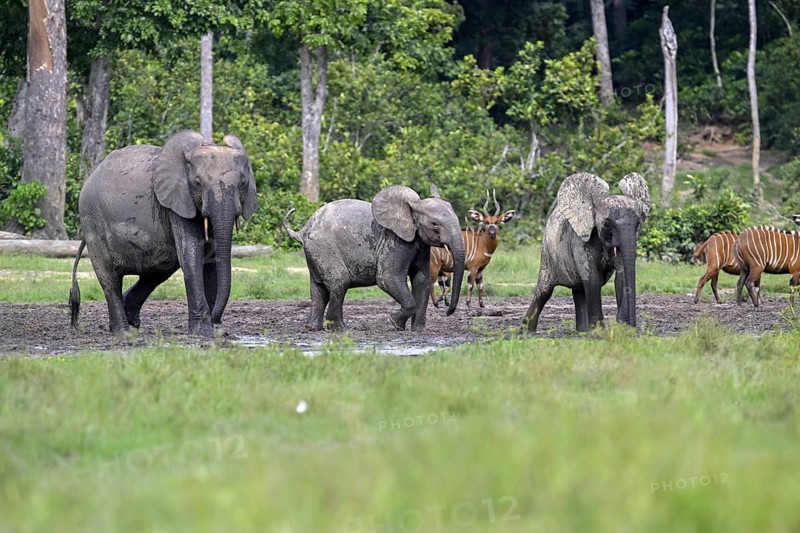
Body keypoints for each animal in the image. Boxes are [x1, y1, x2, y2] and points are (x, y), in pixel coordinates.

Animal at [68, 130, 257, 336]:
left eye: (242, 183)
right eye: (198, 183)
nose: (218, 319)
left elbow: (210, 259)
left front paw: (210, 332)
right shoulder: (177, 201)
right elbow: (191, 256)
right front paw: (202, 333)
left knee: (161, 268)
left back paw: (130, 321)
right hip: (92, 219)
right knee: (110, 278)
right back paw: (123, 331)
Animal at [283, 184, 466, 332]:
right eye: (435, 224)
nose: (447, 311)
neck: (412, 208)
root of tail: (303, 231)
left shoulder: (421, 244)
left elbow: (422, 280)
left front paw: (418, 331)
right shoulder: (395, 241)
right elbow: (388, 278)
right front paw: (394, 324)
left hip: (315, 251)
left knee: (319, 290)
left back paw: (313, 328)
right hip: (324, 248)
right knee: (339, 283)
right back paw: (341, 330)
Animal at [523, 172, 651, 333]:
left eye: (638, 224)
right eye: (607, 224)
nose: (633, 328)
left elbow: (621, 278)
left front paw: (621, 328)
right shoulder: (580, 240)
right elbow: (592, 278)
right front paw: (600, 332)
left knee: (579, 290)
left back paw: (582, 332)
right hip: (547, 253)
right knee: (544, 292)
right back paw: (526, 333)